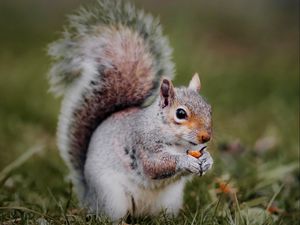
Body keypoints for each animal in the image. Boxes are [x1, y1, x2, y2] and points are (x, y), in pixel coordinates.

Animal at [47, 0, 213, 221]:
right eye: (180, 114)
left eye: (209, 109)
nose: (206, 137)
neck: (177, 141)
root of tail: (89, 197)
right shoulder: (143, 143)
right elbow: (154, 165)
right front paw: (185, 161)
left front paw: (207, 159)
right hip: (111, 198)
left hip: (169, 202)